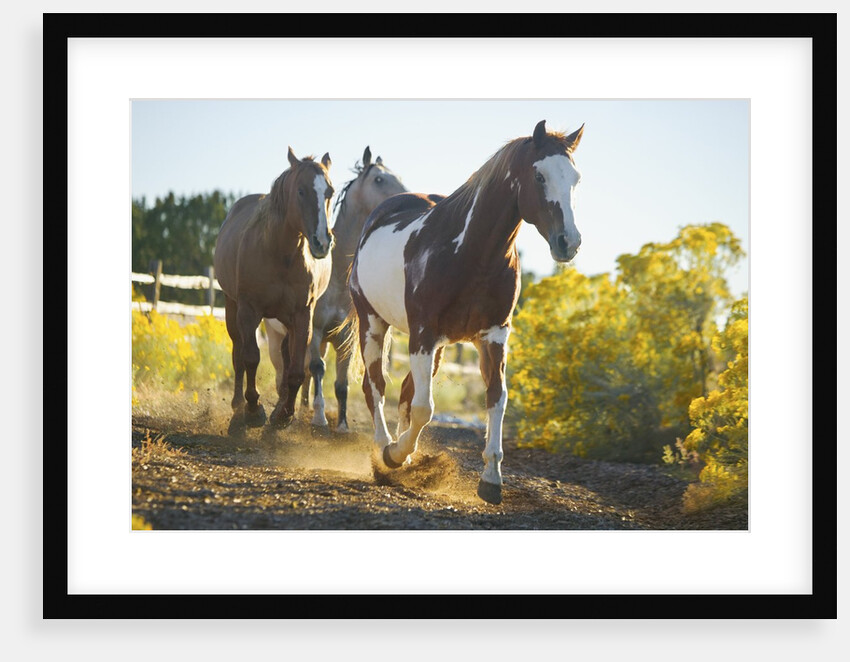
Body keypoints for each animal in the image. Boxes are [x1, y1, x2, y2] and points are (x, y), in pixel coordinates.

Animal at [214, 147, 335, 435]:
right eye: (301, 191)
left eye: (330, 192)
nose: (322, 242)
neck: (281, 253)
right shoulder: (248, 311)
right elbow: (250, 358)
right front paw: (253, 409)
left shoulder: (303, 315)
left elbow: (296, 370)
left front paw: (284, 415)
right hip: (231, 306)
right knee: (238, 353)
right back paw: (238, 404)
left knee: (286, 358)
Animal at [263, 146, 408, 433]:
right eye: (379, 179)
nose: (405, 197)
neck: (337, 280)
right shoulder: (315, 331)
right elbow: (317, 369)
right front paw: (319, 419)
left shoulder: (344, 339)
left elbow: (341, 384)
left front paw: (341, 426)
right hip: (276, 336)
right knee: (284, 371)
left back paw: (301, 409)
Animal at [348, 119, 584, 504]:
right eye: (539, 175)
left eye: (575, 178)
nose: (569, 242)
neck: (471, 252)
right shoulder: (423, 333)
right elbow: (425, 408)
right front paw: (395, 455)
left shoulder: (494, 335)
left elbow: (496, 398)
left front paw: (491, 478)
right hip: (373, 324)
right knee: (376, 388)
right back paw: (385, 448)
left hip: (439, 346)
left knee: (406, 391)